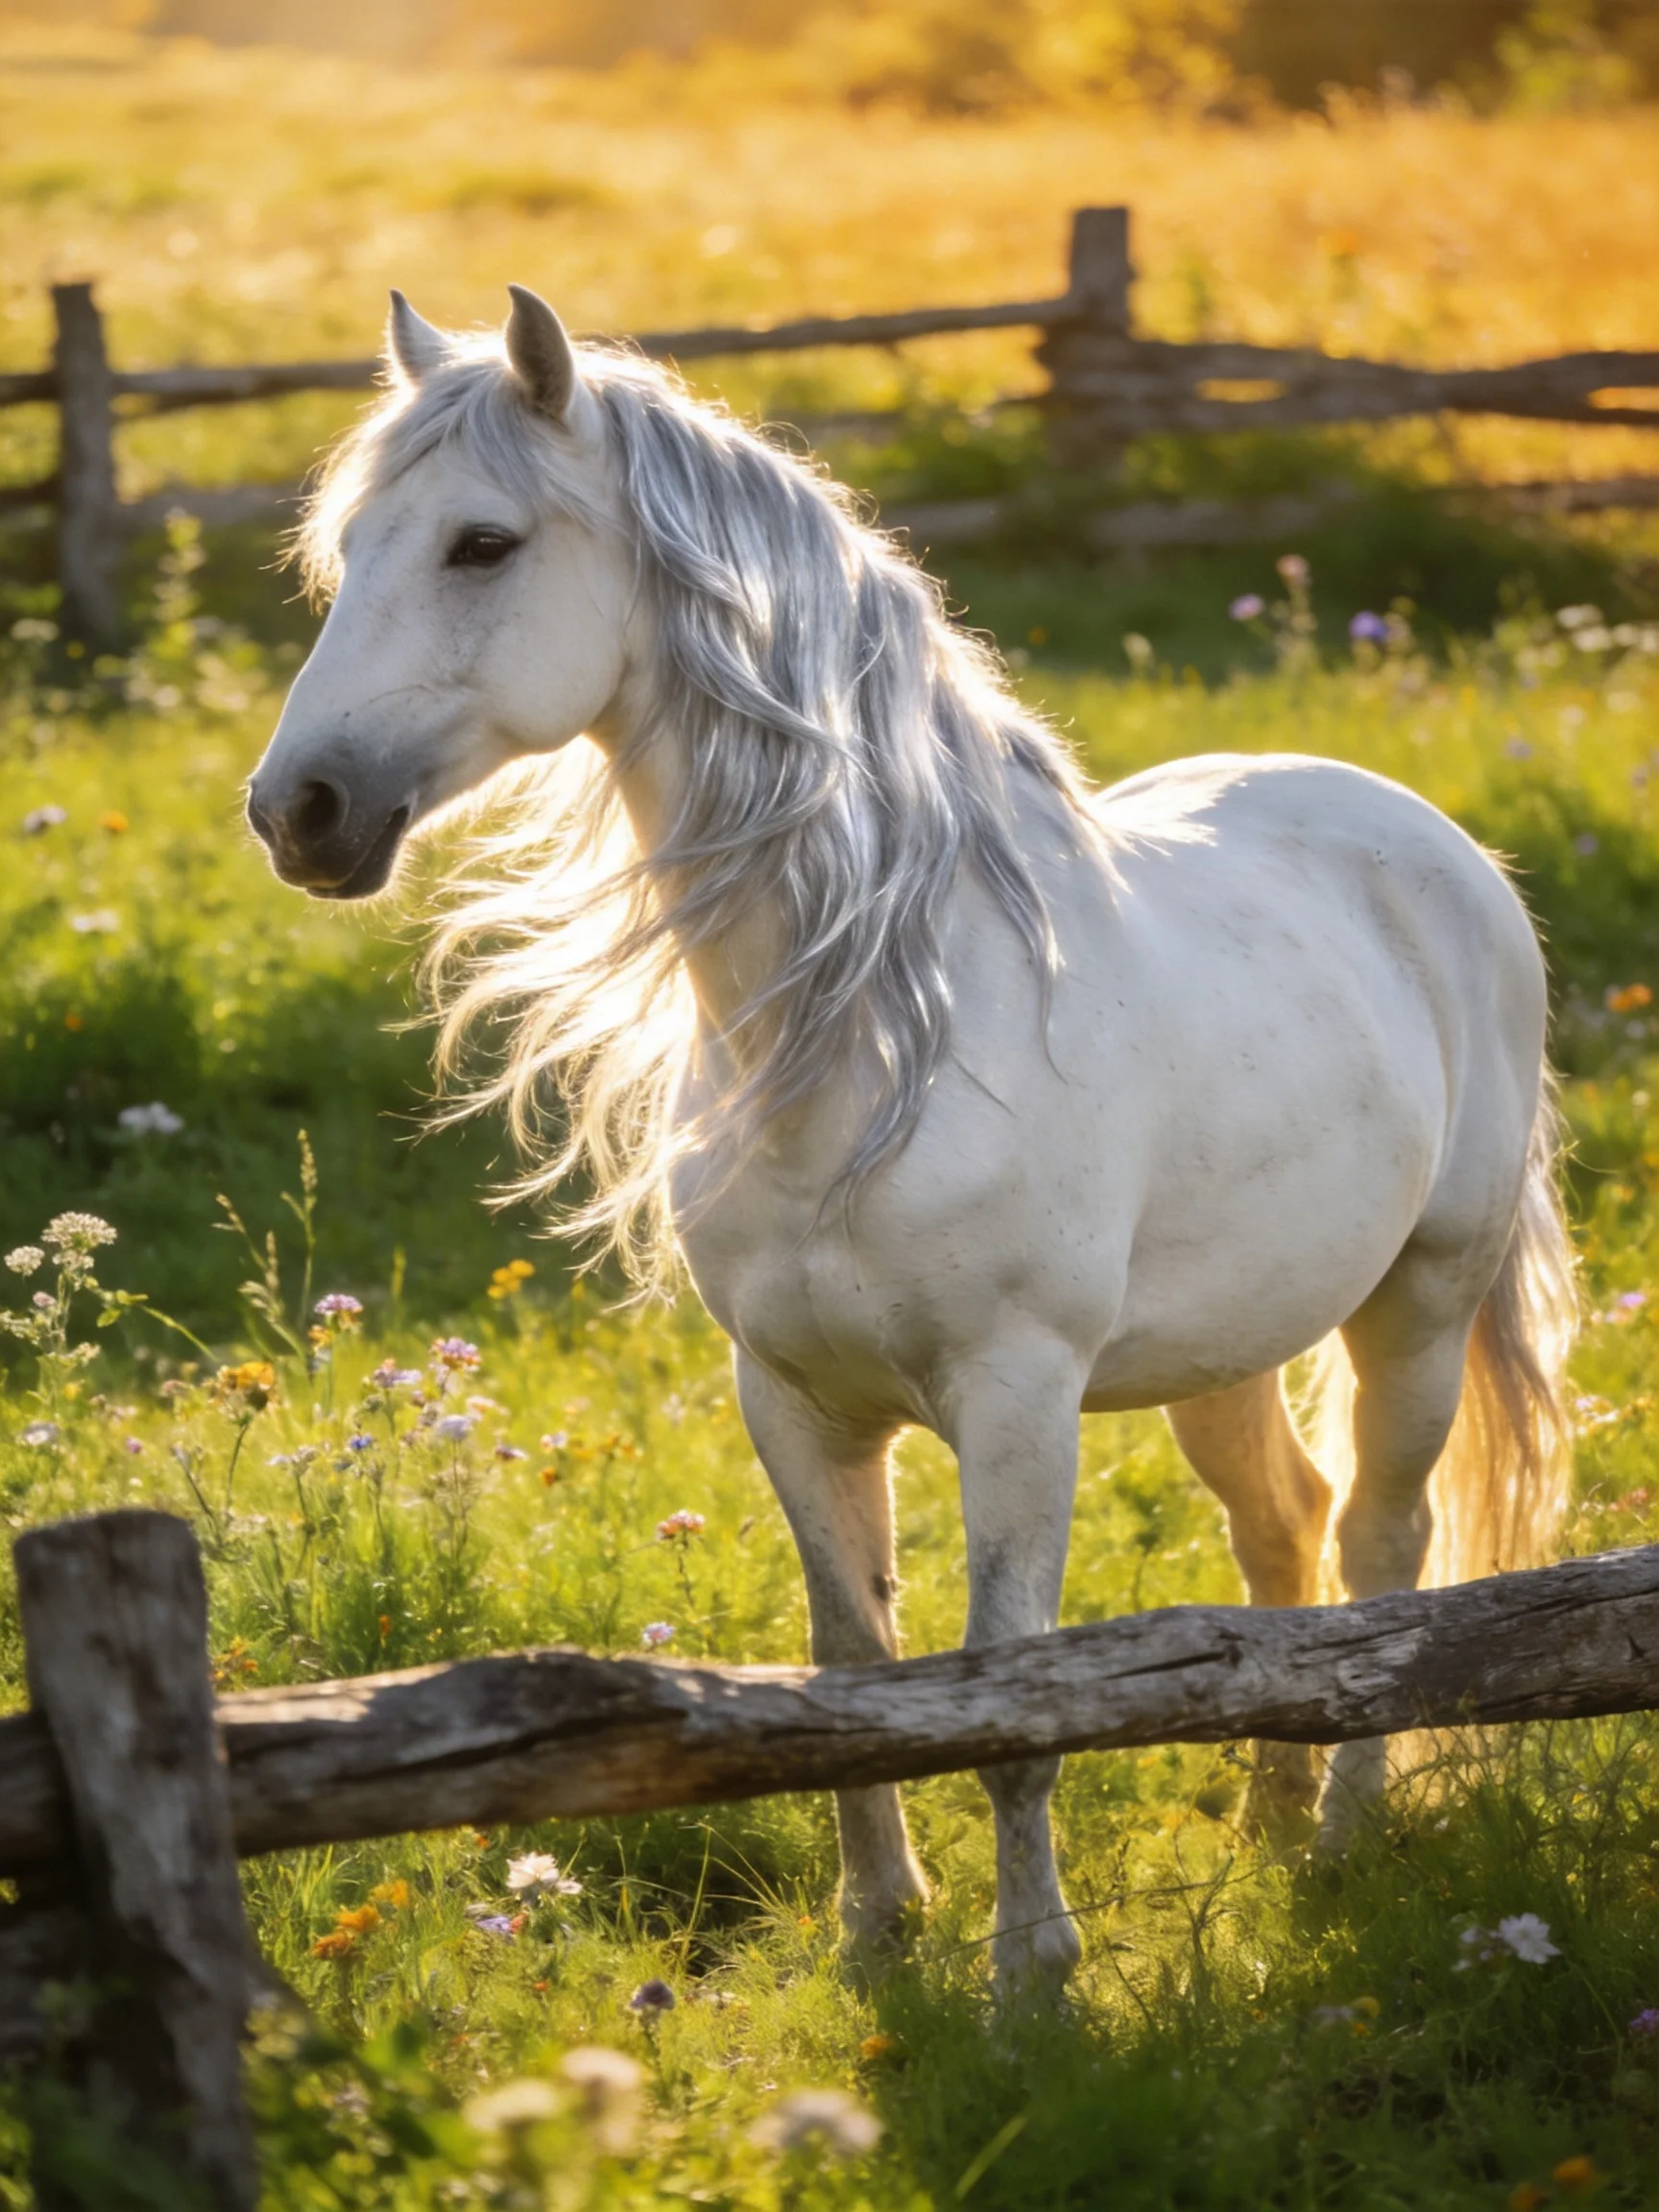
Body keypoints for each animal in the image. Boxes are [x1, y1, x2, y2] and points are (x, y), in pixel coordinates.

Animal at [247, 285, 1578, 1998]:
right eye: (348, 548)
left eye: (483, 544)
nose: (297, 811)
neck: (877, 1034)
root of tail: (1434, 847)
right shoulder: (795, 1400)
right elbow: (853, 1664)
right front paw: (881, 1938)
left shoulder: (1017, 1400)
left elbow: (1009, 1685)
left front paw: (1032, 1976)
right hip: (1226, 1348)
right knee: (1282, 1536)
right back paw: (1274, 1829)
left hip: (1416, 1304)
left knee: (1381, 1546)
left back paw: (1344, 1838)